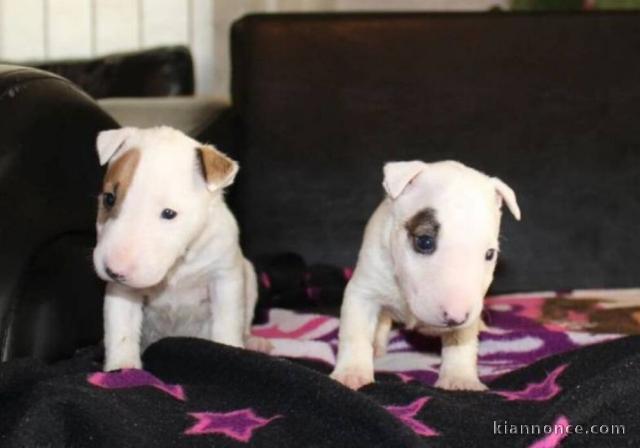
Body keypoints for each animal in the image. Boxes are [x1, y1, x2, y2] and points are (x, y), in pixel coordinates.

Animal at [92, 125, 268, 372]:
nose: (114, 270)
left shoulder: (224, 276)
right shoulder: (122, 290)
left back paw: (255, 343)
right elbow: (121, 328)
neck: (179, 264)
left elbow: (227, 321)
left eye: (169, 213)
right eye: (109, 198)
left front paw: (230, 351)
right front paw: (121, 368)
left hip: (249, 276)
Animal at [330, 159, 520, 390]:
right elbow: (355, 332)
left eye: (490, 254)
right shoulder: (364, 288)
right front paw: (352, 373)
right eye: (424, 242)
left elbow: (461, 340)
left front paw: (460, 379)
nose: (456, 317)